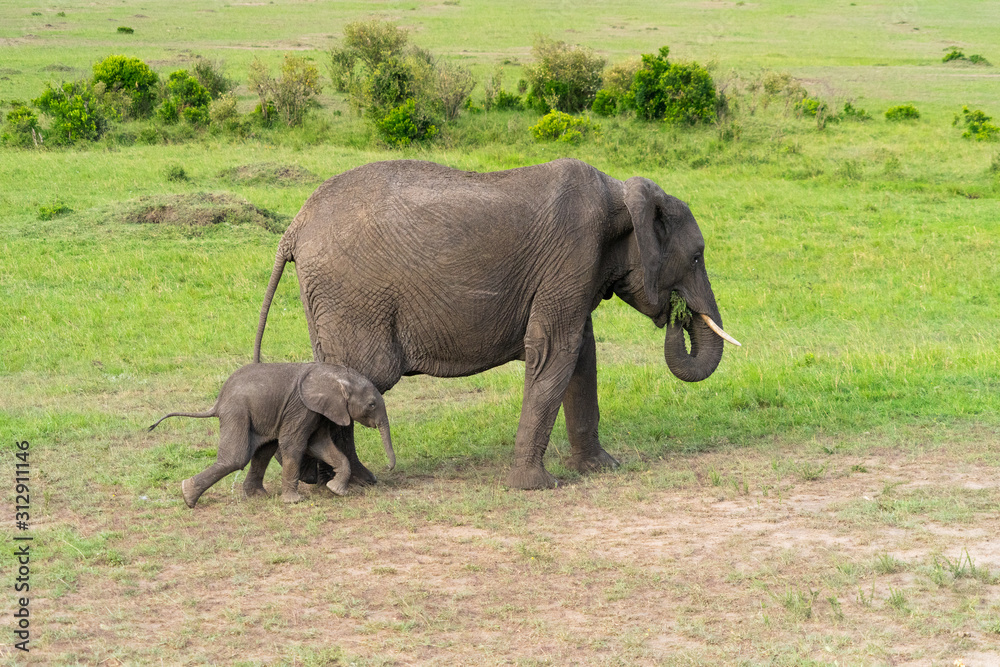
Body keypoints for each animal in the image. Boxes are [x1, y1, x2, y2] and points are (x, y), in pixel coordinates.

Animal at [148, 362, 394, 508]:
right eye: (372, 404)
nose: (389, 469)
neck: (335, 374)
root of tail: (218, 402)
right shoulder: (302, 407)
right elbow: (294, 444)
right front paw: (294, 502)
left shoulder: (319, 411)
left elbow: (320, 444)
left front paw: (336, 490)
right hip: (237, 411)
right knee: (236, 458)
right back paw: (188, 496)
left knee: (263, 452)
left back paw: (257, 496)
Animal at [254, 158, 740, 490]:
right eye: (697, 257)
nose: (677, 314)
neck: (620, 193)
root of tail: (293, 228)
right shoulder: (573, 255)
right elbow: (555, 350)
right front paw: (537, 486)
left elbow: (581, 354)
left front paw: (601, 468)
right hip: (352, 297)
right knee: (363, 376)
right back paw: (354, 482)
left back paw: (329, 479)